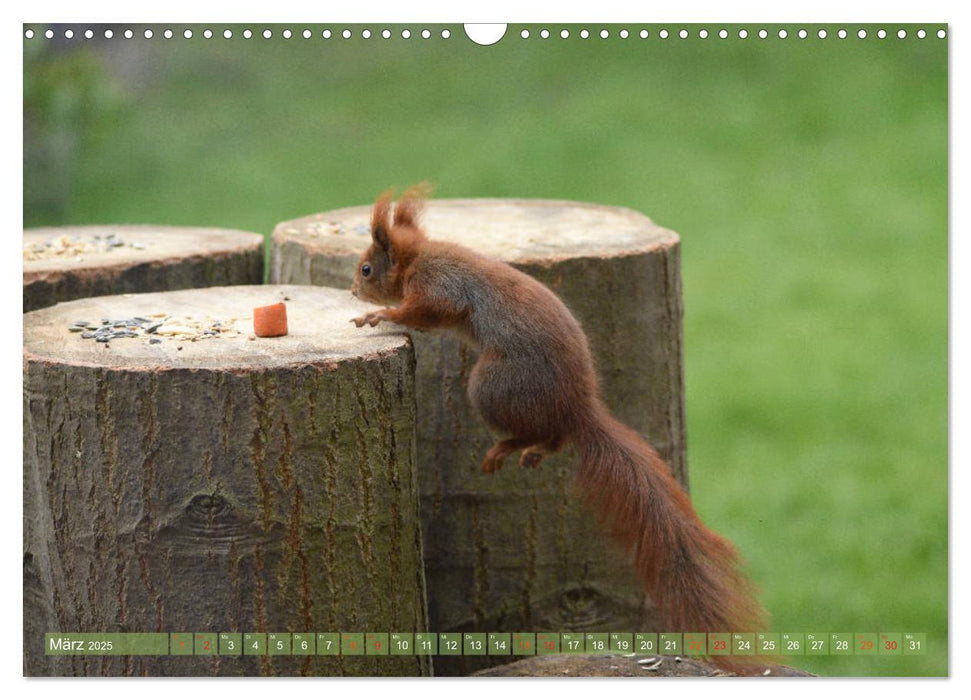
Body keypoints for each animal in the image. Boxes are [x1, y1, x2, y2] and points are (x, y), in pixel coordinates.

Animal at [350, 186, 768, 668]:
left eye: (367, 268)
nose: (353, 289)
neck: (418, 257)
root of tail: (577, 407)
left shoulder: (439, 287)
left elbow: (425, 310)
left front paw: (379, 316)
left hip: (493, 386)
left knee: (541, 431)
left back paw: (509, 447)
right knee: (556, 437)